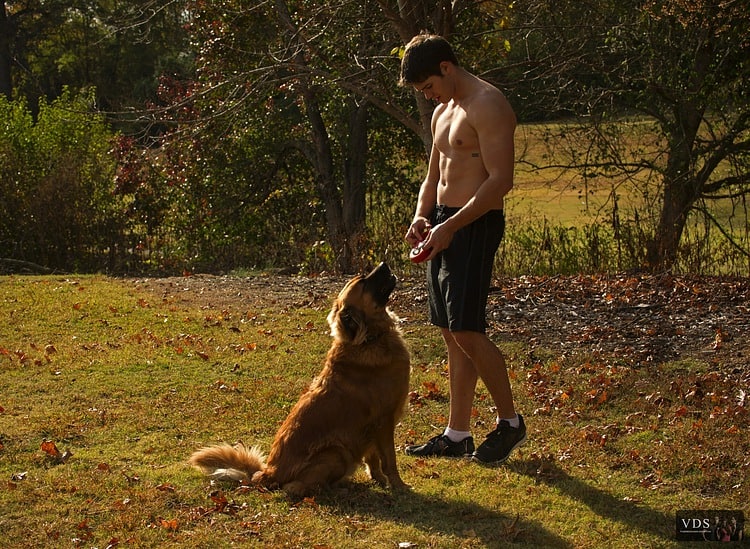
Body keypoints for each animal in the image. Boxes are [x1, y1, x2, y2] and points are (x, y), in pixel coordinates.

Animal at [188, 262, 412, 496]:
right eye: (363, 281)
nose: (384, 264)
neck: (370, 339)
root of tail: (268, 473)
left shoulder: (371, 431)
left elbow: (374, 460)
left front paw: (380, 480)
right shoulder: (384, 421)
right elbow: (389, 460)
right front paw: (399, 485)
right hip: (336, 452)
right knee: (295, 487)